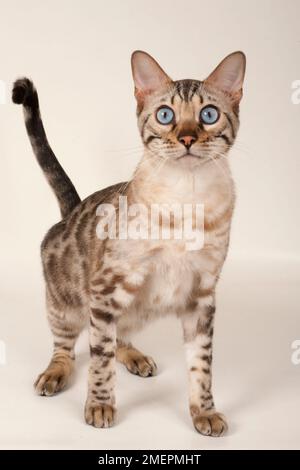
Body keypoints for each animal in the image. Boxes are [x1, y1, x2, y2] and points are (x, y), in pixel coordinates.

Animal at [12, 49, 246, 436]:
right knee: (70, 345)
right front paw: (100, 406)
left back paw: (135, 357)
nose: (186, 139)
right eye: (165, 115)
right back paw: (55, 373)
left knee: (116, 335)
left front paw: (204, 412)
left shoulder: (202, 296)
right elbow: (100, 362)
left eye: (208, 115)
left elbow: (201, 366)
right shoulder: (107, 287)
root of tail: (71, 210)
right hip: (66, 304)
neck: (186, 200)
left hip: (133, 306)